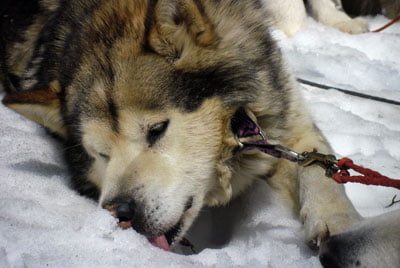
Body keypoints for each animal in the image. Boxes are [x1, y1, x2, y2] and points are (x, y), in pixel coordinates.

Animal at [1, 0, 360, 253]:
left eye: (157, 129)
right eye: (101, 154)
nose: (121, 212)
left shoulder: (284, 119)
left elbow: (321, 168)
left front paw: (341, 223)